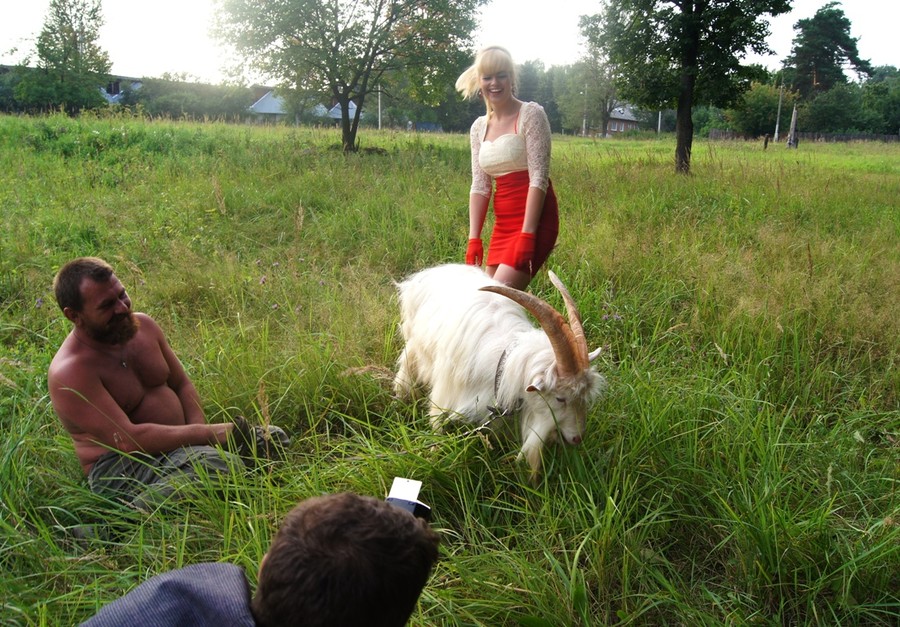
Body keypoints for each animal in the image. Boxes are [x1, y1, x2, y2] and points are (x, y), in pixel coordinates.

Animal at [394, 264, 604, 476]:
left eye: (584, 397)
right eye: (560, 398)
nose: (577, 438)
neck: (502, 366)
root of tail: (438, 269)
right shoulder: (446, 394)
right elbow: (437, 422)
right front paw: (436, 451)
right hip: (414, 340)